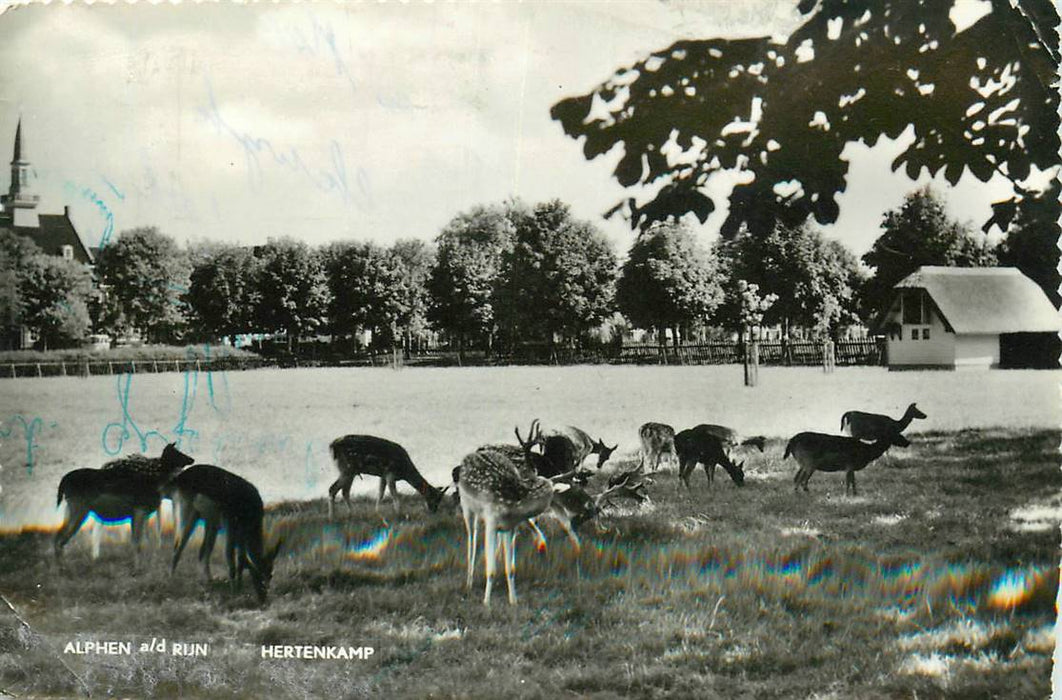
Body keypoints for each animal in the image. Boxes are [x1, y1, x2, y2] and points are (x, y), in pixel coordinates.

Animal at [55, 444, 195, 565]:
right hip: (78, 508)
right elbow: (137, 542)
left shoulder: (139, 514)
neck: (155, 480)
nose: (191, 459)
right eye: (176, 452)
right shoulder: (139, 510)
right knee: (61, 537)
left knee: (60, 536)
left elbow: (140, 541)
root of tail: (64, 480)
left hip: (71, 508)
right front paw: (137, 566)